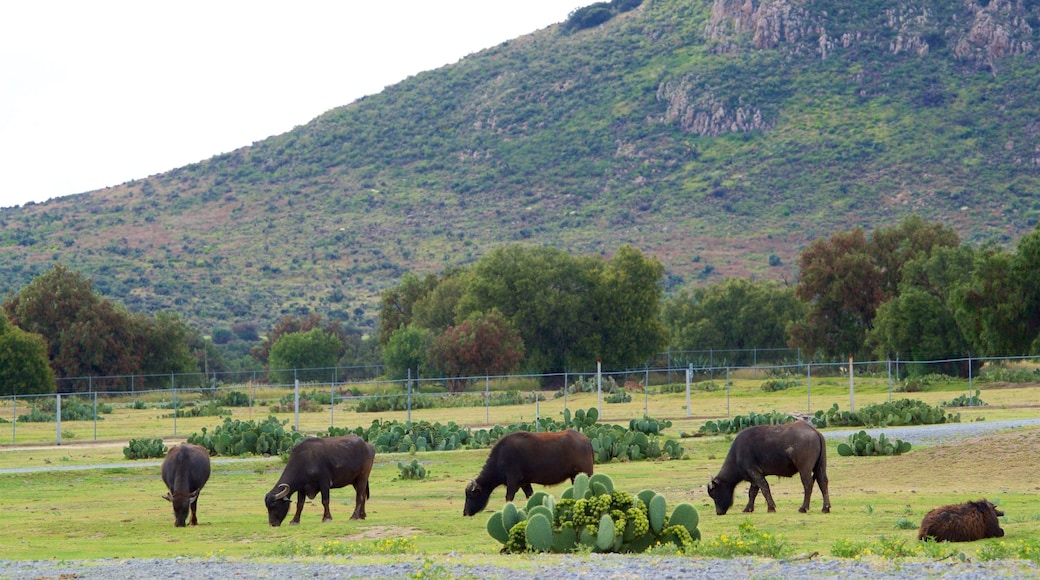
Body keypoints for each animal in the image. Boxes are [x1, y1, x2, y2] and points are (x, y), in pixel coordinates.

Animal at [463, 428, 594, 517]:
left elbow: (508, 498)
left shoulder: (512, 483)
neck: (501, 457)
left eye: (470, 495)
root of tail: (587, 440)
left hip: (586, 474)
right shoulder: (524, 483)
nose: (465, 512)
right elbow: (530, 496)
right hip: (574, 476)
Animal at [703, 419, 832, 515]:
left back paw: (803, 508)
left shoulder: (754, 471)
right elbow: (752, 492)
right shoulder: (753, 476)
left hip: (804, 468)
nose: (718, 512)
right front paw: (748, 508)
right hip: (820, 466)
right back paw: (825, 508)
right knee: (823, 482)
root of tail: (814, 431)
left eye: (715, 494)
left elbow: (764, 488)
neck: (737, 455)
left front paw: (771, 507)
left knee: (808, 484)